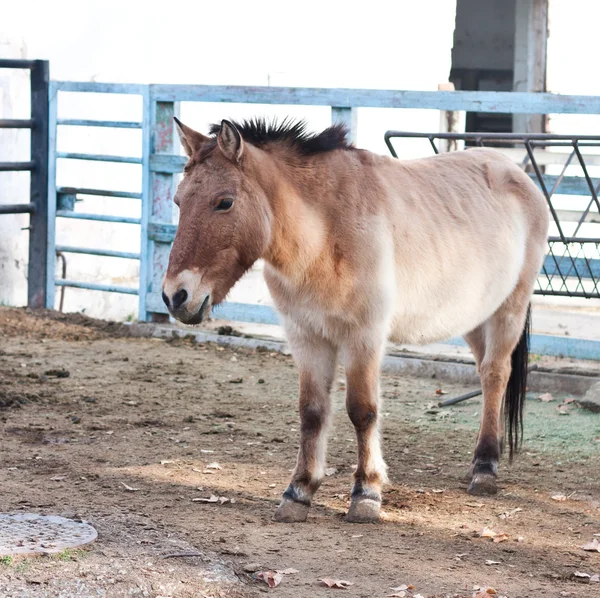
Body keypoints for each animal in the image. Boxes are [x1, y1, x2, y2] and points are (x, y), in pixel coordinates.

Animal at [162, 117, 552, 524]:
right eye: (178, 201)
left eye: (224, 202)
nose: (176, 296)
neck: (325, 234)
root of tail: (517, 174)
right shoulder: (306, 336)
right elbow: (312, 412)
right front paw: (298, 492)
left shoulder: (363, 335)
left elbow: (362, 411)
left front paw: (366, 493)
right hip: (475, 317)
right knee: (486, 373)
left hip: (509, 309)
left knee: (495, 374)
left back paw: (485, 468)